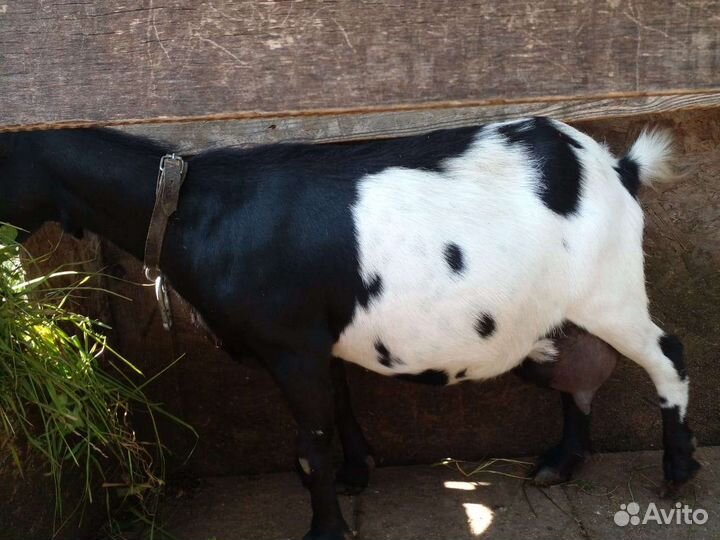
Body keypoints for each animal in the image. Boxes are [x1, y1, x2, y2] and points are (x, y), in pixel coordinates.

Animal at [0, 117, 698, 540]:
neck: (195, 209)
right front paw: (358, 473)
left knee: (668, 355)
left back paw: (678, 468)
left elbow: (309, 446)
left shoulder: (291, 345)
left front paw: (325, 527)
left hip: (611, 291)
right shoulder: (318, 339)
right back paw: (558, 463)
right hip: (557, 322)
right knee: (581, 377)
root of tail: (617, 168)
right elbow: (340, 405)